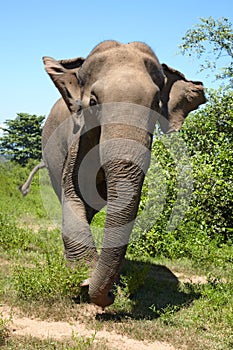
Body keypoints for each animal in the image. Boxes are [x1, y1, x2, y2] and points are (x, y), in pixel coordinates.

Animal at [20, 41, 206, 308]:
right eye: (93, 101)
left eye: (155, 105)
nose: (109, 295)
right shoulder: (79, 140)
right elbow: (73, 194)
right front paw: (82, 278)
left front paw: (93, 279)